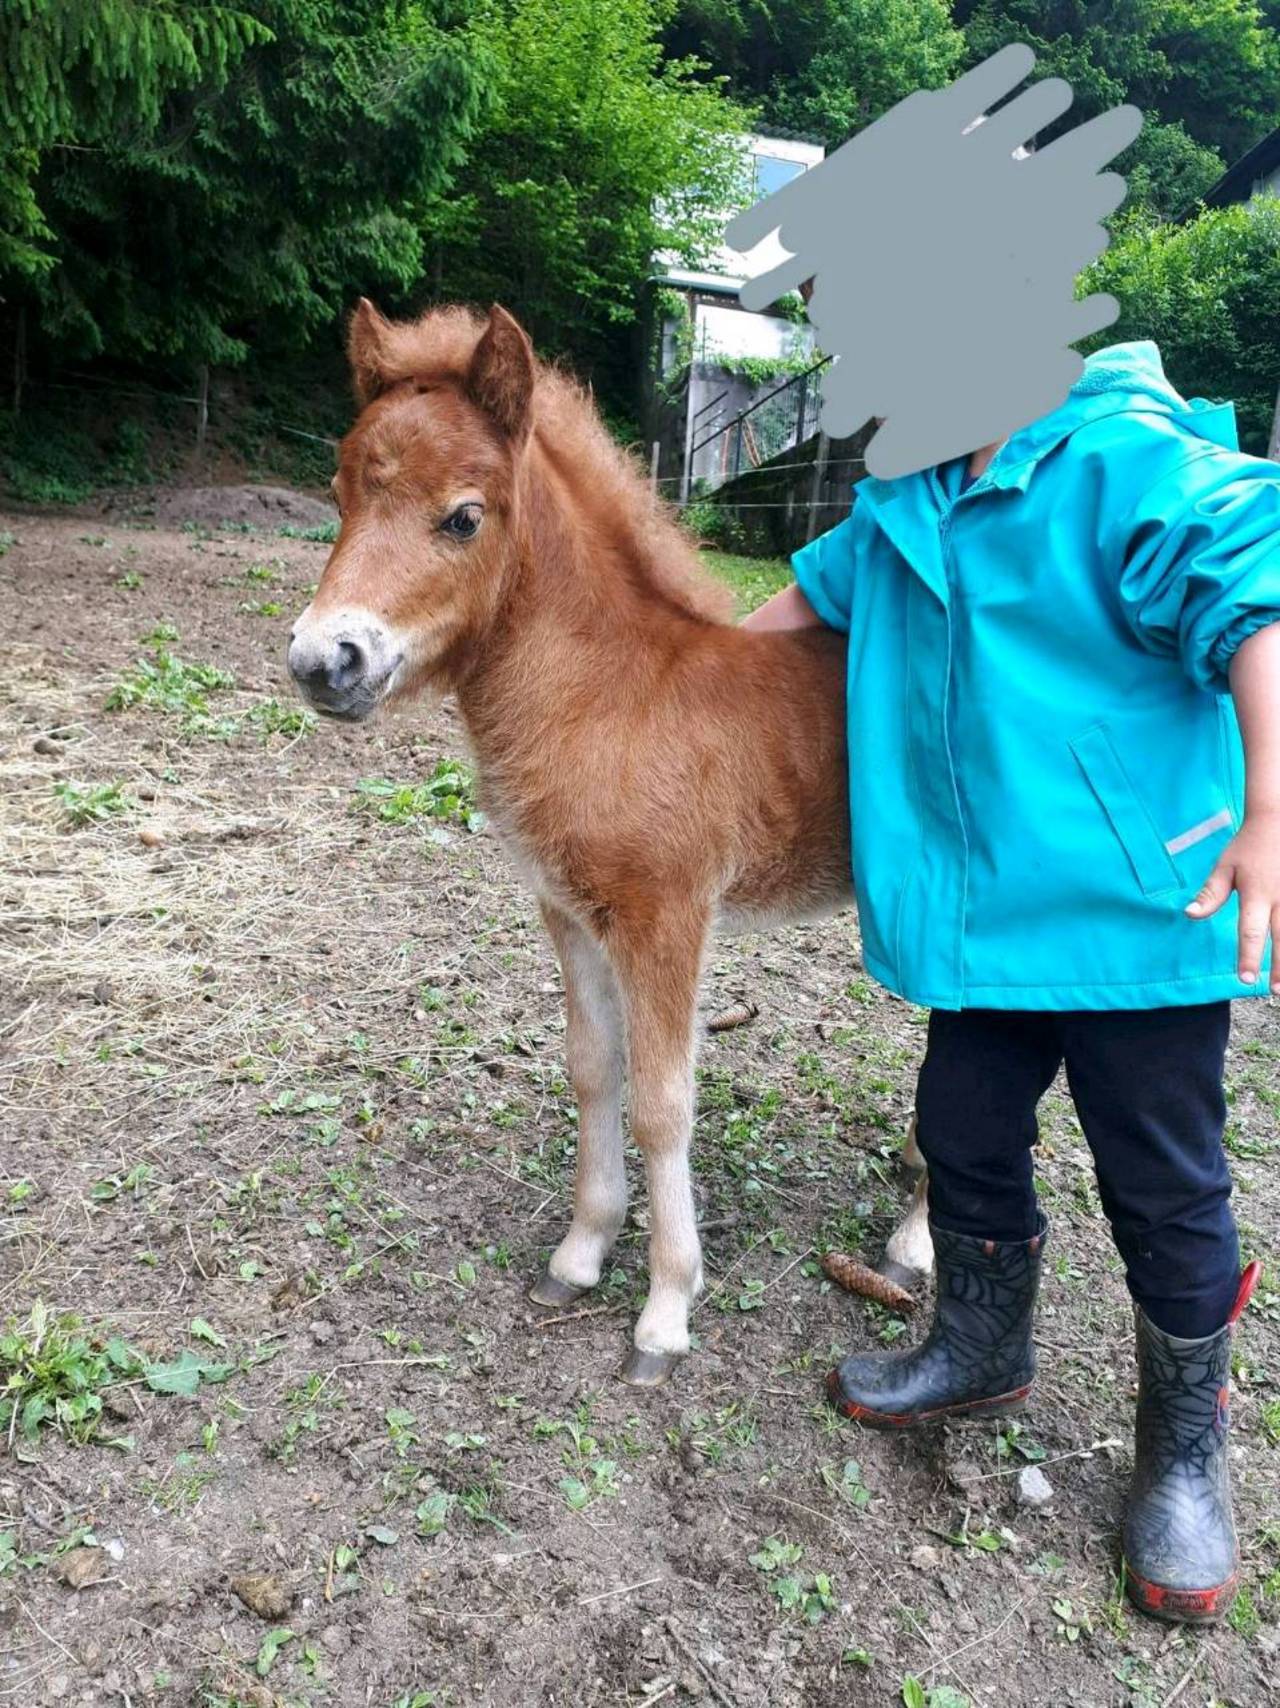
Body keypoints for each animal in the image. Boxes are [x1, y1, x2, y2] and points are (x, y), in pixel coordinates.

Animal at [288, 300, 929, 1380]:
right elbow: (594, 1070)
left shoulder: (666, 918)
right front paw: (582, 1251)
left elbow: (663, 1101)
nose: (323, 661)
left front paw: (666, 1310)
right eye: (339, 492)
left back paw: (917, 1243)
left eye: (464, 516)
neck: (614, 696)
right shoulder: (569, 910)